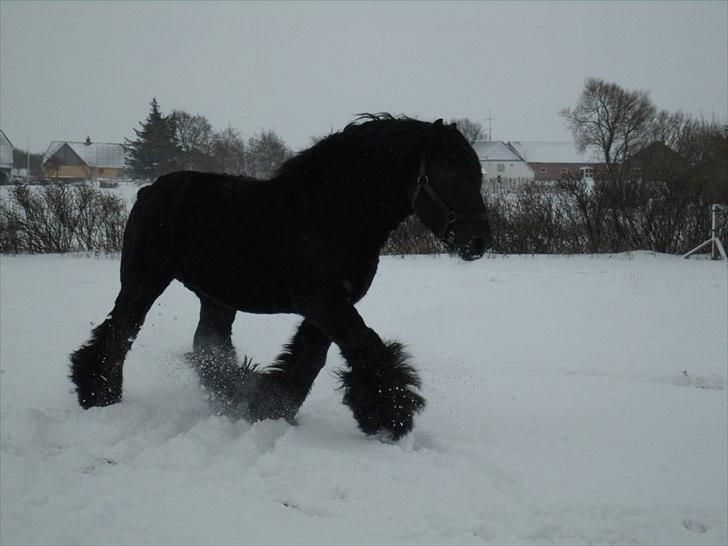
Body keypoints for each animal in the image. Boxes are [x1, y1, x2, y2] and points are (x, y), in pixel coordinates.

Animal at [71, 113, 492, 438]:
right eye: (448, 172)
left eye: (478, 173)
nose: (479, 241)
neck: (335, 213)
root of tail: (149, 190)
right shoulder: (324, 302)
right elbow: (367, 348)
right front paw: (392, 415)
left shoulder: (332, 304)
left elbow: (309, 357)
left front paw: (270, 404)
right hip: (143, 282)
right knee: (120, 332)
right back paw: (98, 394)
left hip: (216, 297)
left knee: (208, 346)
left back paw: (233, 394)